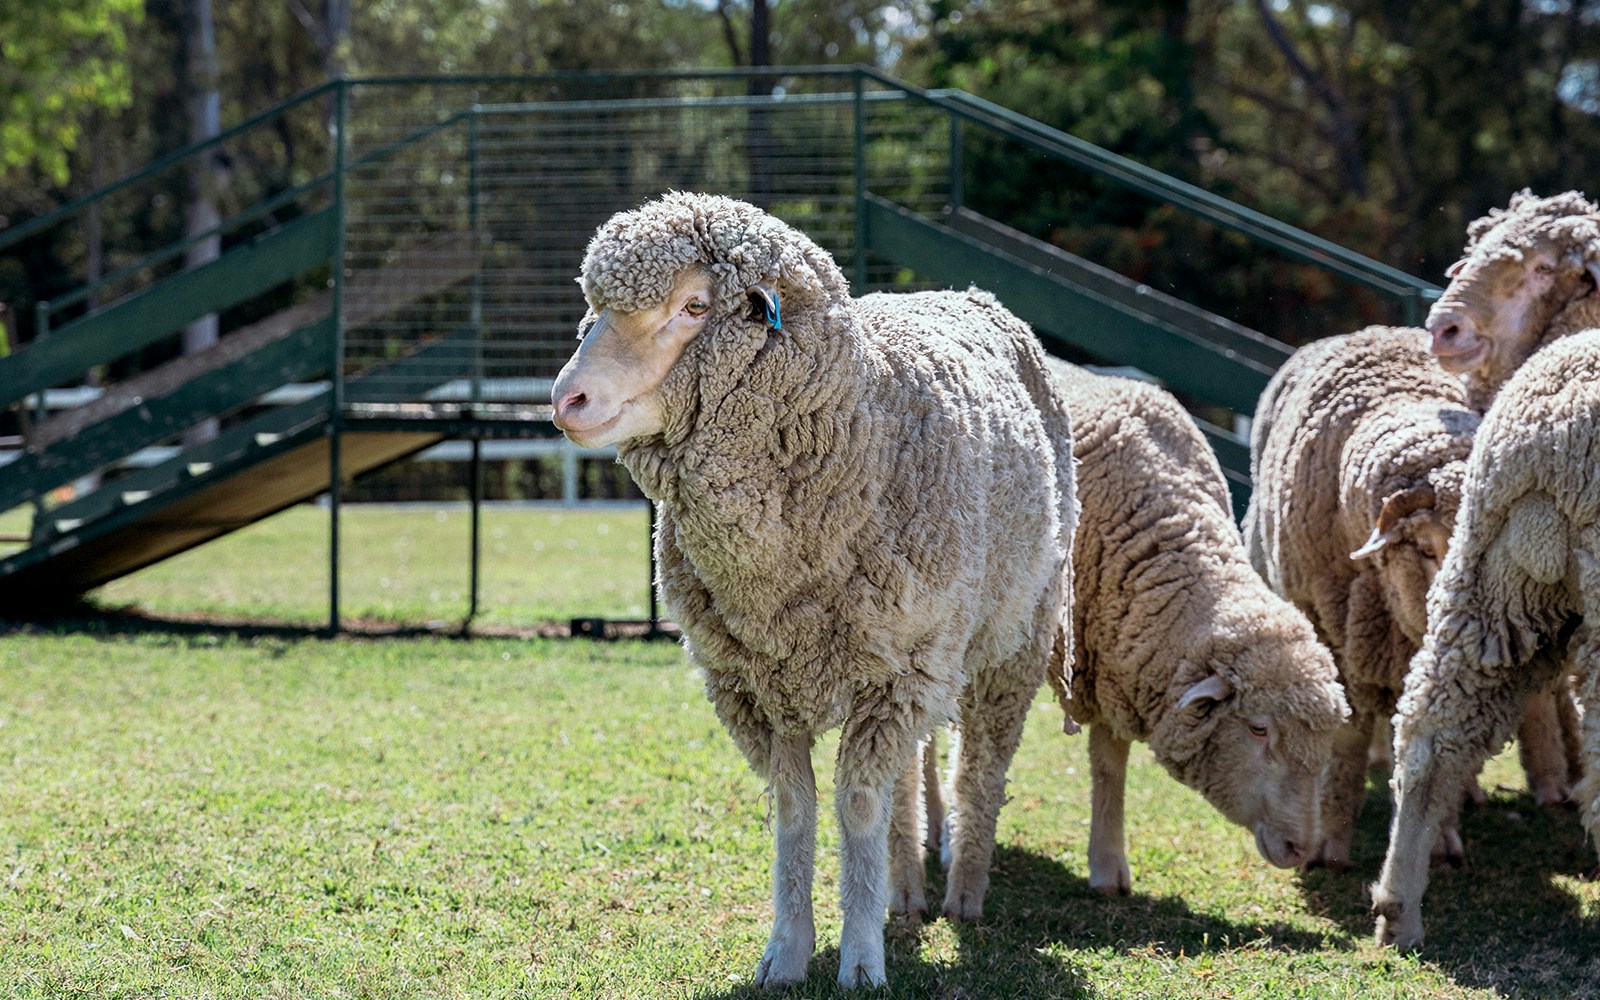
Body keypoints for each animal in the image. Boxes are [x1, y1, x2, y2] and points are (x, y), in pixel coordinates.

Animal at [547, 192, 1075, 985]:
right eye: (597, 309)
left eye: (694, 305)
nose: (566, 398)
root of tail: (965, 291)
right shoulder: (755, 682)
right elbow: (796, 809)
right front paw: (788, 952)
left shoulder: (894, 676)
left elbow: (856, 805)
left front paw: (860, 961)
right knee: (910, 778)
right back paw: (905, 892)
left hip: (1010, 640)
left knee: (981, 770)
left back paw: (964, 892)